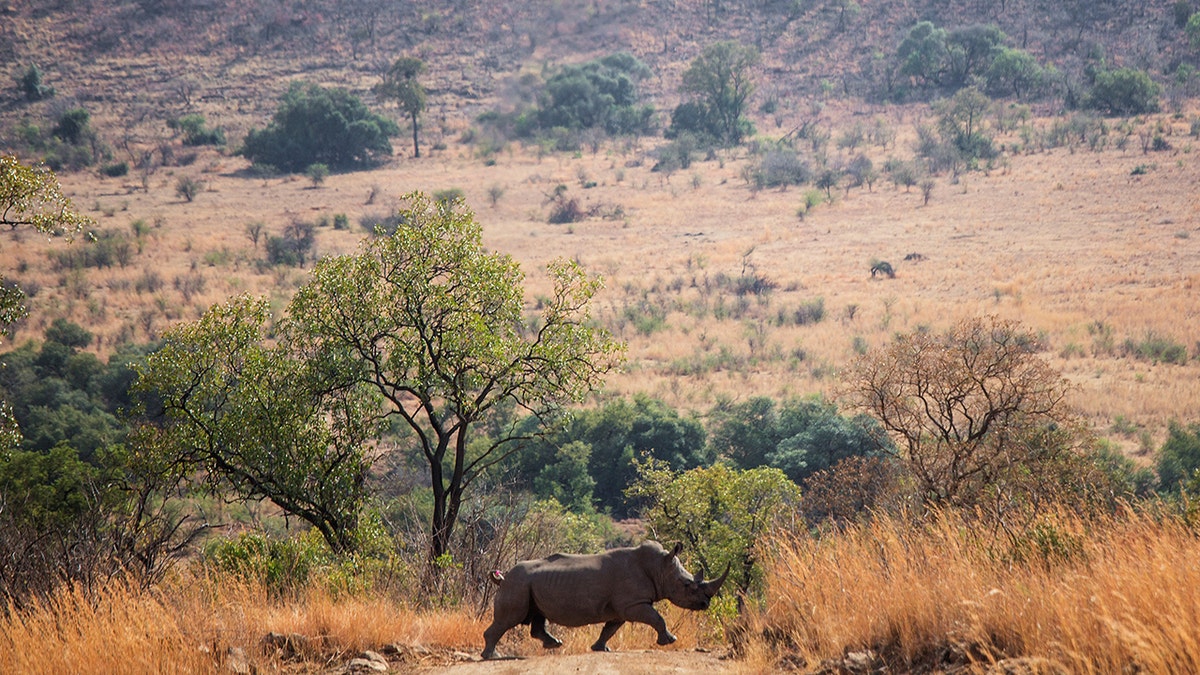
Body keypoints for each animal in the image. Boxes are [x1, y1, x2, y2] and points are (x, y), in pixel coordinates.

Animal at [481, 541, 728, 659]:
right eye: (687, 585)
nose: (705, 604)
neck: (660, 567)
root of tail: (504, 578)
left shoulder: (622, 607)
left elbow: (610, 628)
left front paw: (600, 648)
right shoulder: (633, 603)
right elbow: (657, 618)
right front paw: (670, 640)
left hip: (528, 584)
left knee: (538, 616)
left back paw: (555, 644)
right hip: (518, 584)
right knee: (510, 619)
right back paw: (493, 656)